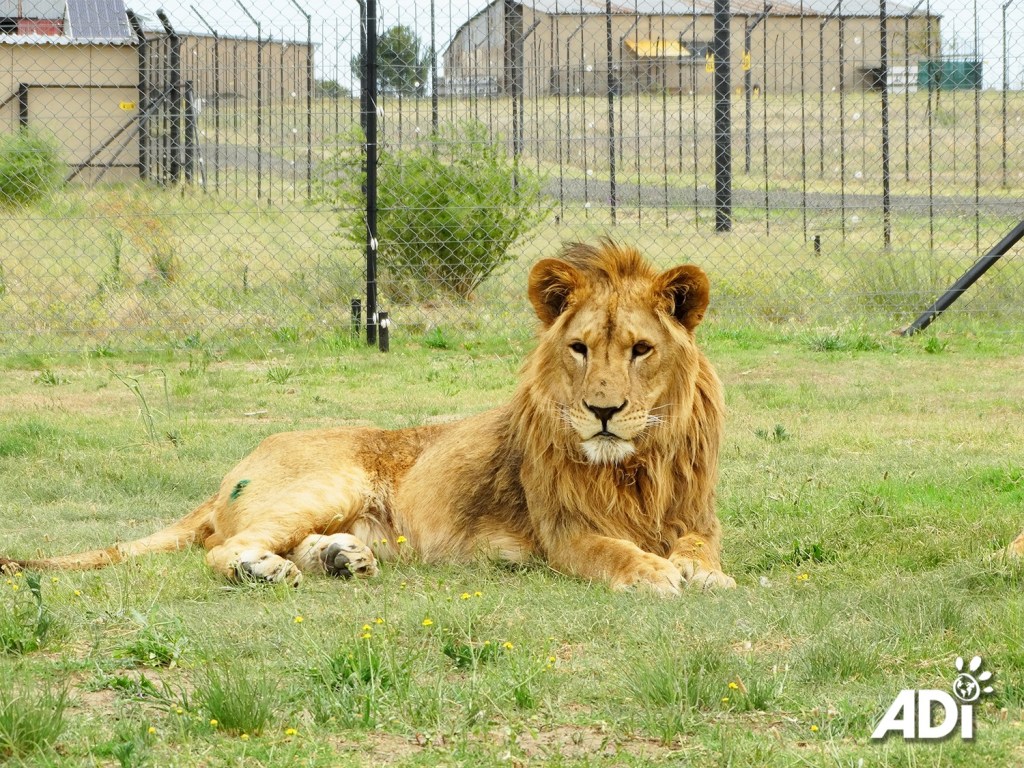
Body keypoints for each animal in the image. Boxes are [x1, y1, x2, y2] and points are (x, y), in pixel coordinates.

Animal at [0, 240, 735, 594]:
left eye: (640, 350)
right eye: (580, 349)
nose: (603, 412)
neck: (635, 467)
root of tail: (228, 472)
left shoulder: (694, 518)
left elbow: (704, 551)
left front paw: (705, 573)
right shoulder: (564, 531)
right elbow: (613, 551)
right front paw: (654, 573)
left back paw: (339, 559)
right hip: (330, 481)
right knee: (222, 549)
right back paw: (267, 573)